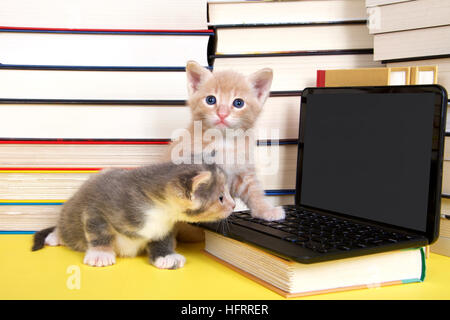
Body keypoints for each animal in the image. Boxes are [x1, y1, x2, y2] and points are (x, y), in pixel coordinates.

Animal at [31, 161, 234, 268]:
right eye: (221, 197)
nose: (233, 206)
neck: (158, 209)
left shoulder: (165, 226)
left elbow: (163, 240)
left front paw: (166, 256)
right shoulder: (97, 207)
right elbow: (98, 231)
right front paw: (101, 254)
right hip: (69, 215)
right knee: (65, 228)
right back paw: (55, 236)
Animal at [167, 60, 286, 241]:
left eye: (238, 103)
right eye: (210, 100)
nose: (222, 114)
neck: (223, 141)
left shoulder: (243, 171)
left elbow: (254, 191)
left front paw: (266, 211)